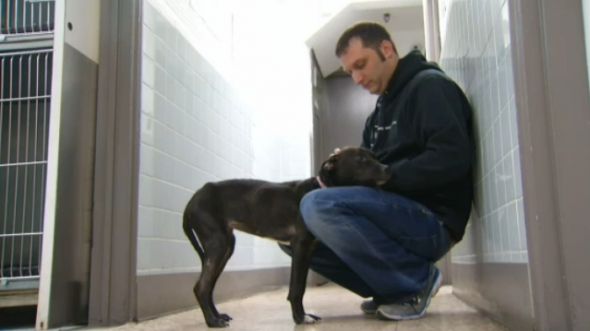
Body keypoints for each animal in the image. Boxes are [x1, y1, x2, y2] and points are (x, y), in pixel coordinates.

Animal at [183, 147, 390, 328]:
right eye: (360, 158)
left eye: (373, 156)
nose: (387, 169)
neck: (321, 187)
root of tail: (193, 199)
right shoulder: (300, 245)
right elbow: (296, 288)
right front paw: (300, 318)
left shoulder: (308, 250)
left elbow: (301, 286)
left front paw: (303, 315)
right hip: (218, 244)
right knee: (201, 287)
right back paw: (212, 321)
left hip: (226, 247)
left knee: (208, 286)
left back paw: (217, 316)